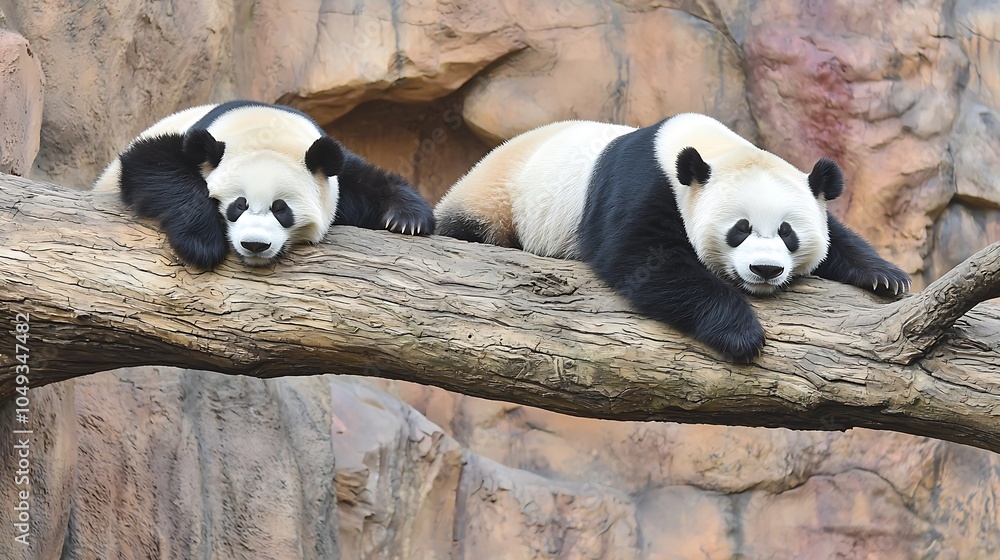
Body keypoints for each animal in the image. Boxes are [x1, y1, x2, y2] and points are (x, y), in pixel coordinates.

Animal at [94, 100, 434, 268]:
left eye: (281, 209)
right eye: (237, 205)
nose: (254, 245)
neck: (266, 125)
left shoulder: (331, 169)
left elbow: (364, 180)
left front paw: (407, 219)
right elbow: (150, 163)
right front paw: (201, 243)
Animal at [434, 113, 911, 361]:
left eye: (787, 232)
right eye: (740, 229)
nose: (765, 270)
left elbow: (837, 234)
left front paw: (885, 276)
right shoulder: (640, 186)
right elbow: (645, 260)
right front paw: (742, 333)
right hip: (498, 197)